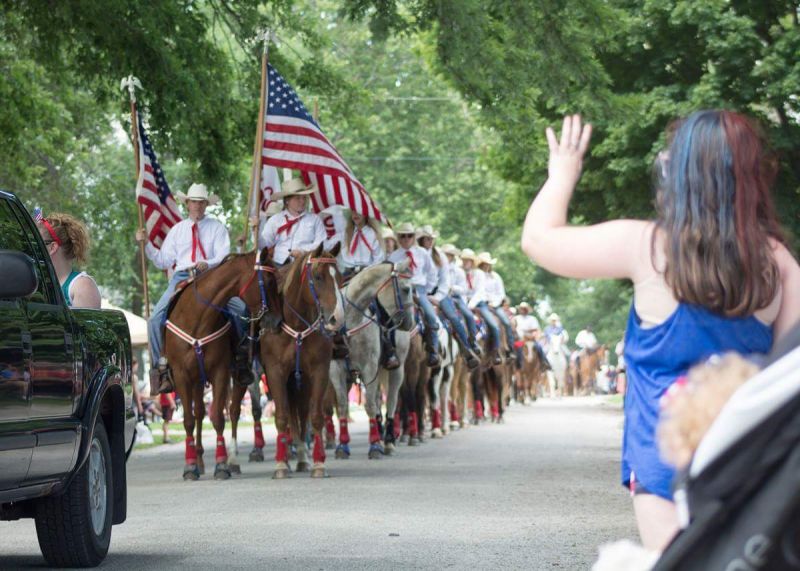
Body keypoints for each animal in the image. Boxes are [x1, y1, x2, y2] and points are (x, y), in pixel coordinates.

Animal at [161, 252, 280, 480]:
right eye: (269, 281)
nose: (277, 322)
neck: (197, 317)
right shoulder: (181, 375)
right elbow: (189, 420)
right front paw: (190, 466)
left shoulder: (220, 372)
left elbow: (217, 416)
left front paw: (222, 465)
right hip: (197, 380)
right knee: (199, 412)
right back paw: (199, 461)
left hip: (238, 377)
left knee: (233, 411)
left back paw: (232, 460)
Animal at [258, 245, 342, 478]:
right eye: (318, 276)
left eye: (339, 276)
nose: (336, 318)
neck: (296, 326)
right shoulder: (275, 372)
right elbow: (282, 416)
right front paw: (280, 465)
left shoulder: (318, 371)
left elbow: (314, 416)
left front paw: (319, 464)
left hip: (301, 380)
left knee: (302, 415)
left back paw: (303, 458)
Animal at [326, 262, 412, 460]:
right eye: (406, 289)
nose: (409, 322)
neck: (349, 321)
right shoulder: (337, 370)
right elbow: (343, 406)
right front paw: (342, 446)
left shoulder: (369, 368)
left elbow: (370, 405)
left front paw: (375, 446)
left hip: (397, 370)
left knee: (391, 402)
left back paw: (388, 441)